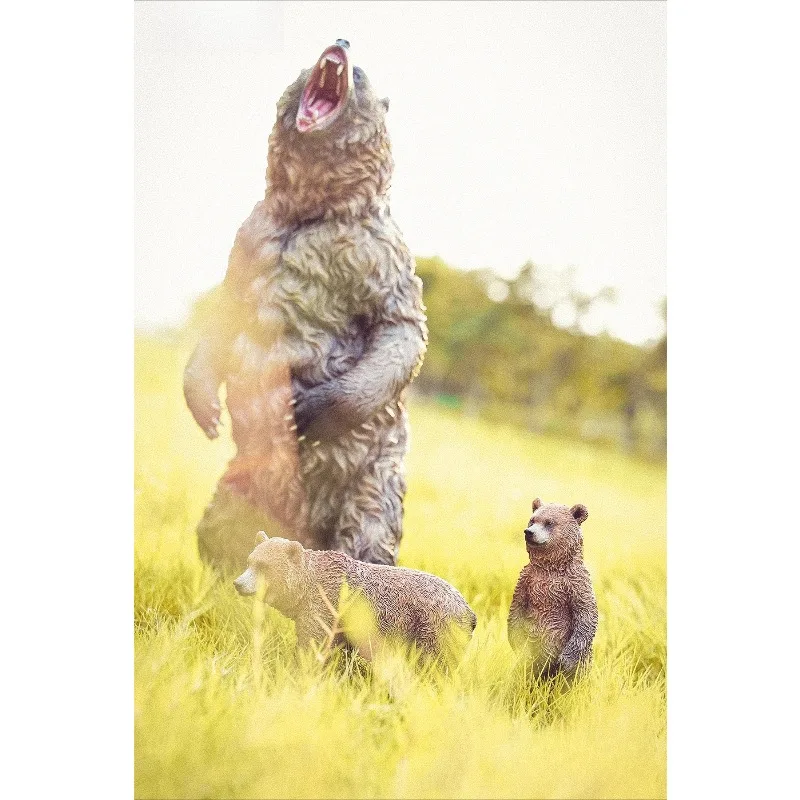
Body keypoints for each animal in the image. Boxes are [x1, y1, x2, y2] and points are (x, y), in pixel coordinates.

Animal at [183, 39, 428, 573]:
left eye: (361, 75)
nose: (341, 42)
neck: (309, 214)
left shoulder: (380, 253)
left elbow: (401, 329)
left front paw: (306, 408)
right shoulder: (250, 236)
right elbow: (225, 310)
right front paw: (206, 409)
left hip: (371, 486)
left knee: (367, 543)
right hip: (235, 488)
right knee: (220, 534)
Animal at [234, 532, 477, 666]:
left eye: (264, 566)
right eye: (250, 561)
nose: (238, 583)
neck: (306, 588)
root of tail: (469, 611)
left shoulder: (325, 608)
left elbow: (312, 645)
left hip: (435, 629)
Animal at [507, 498, 598, 678]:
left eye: (549, 522)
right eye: (532, 520)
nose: (529, 532)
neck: (550, 567)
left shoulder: (576, 583)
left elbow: (586, 614)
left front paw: (566, 660)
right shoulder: (527, 580)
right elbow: (517, 608)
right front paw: (517, 643)